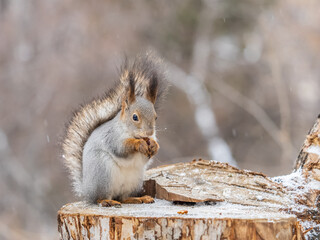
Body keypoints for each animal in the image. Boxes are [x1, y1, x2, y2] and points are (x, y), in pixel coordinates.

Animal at [62, 53, 168, 207]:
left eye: (156, 117)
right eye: (135, 117)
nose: (149, 133)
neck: (132, 132)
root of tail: (87, 191)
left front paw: (154, 146)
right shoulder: (112, 137)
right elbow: (121, 148)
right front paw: (139, 144)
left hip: (133, 181)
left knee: (123, 198)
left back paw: (139, 198)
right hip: (103, 174)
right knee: (100, 198)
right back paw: (107, 201)